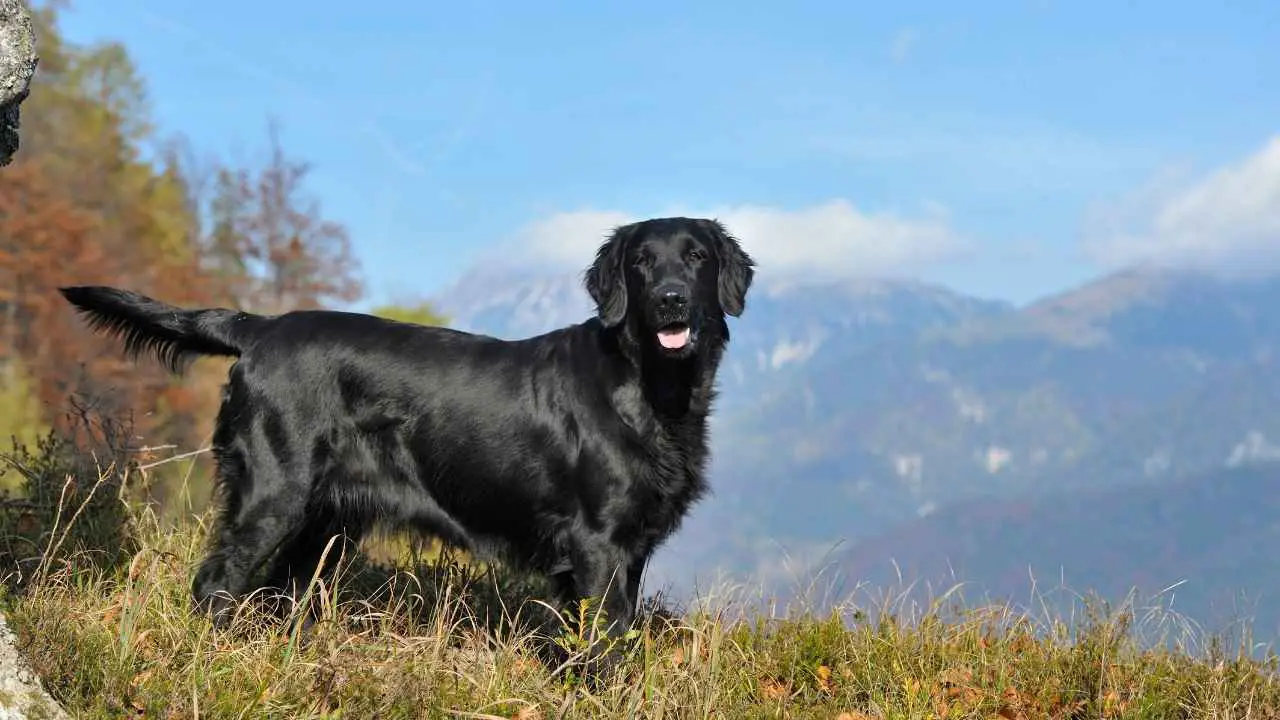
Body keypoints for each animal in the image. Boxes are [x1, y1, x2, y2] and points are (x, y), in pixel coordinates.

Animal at [60, 219, 752, 661]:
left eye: (696, 258)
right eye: (641, 261)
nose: (671, 300)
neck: (651, 387)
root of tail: (261, 329)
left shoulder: (630, 549)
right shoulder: (598, 543)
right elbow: (604, 646)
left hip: (323, 524)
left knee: (274, 592)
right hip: (273, 496)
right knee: (215, 583)